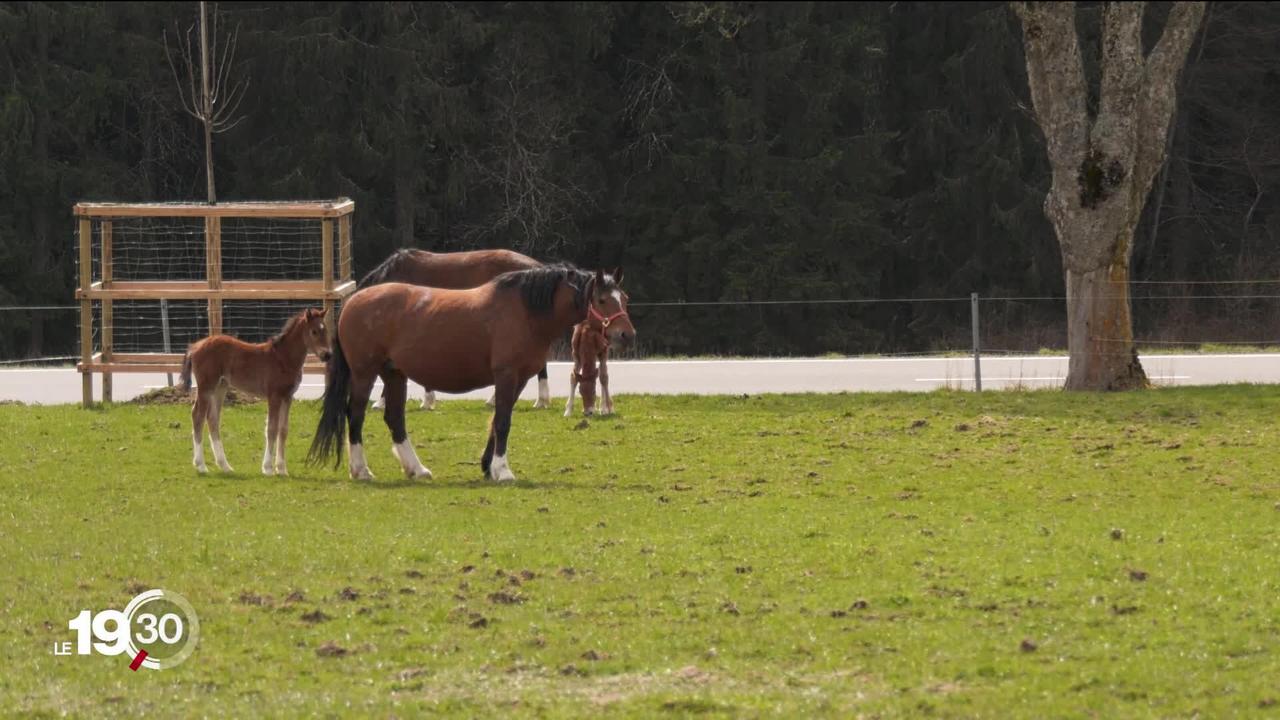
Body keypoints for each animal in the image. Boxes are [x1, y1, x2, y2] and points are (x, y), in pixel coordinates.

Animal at [177, 304, 332, 474]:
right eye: (314, 331)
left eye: (326, 330)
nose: (327, 355)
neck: (283, 358)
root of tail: (195, 346)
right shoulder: (274, 396)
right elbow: (271, 429)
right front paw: (268, 468)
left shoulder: (288, 397)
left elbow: (283, 430)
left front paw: (282, 469)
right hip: (206, 386)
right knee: (198, 416)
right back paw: (201, 465)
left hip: (220, 387)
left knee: (212, 418)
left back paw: (225, 465)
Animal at [304, 265, 634, 481]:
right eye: (602, 300)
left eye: (625, 298)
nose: (626, 335)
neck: (525, 311)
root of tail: (353, 302)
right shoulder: (506, 375)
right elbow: (502, 422)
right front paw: (502, 470)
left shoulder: (518, 379)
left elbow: (497, 421)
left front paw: (488, 466)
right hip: (364, 373)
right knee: (355, 415)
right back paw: (360, 470)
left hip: (394, 374)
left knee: (394, 418)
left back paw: (416, 469)